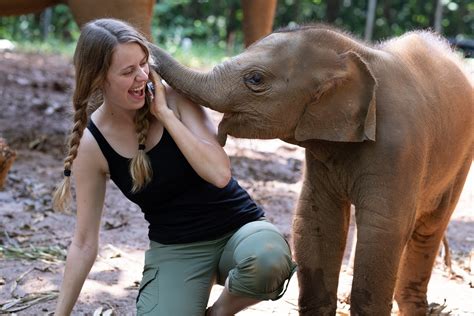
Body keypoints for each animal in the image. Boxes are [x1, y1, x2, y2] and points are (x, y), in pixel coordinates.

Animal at [151, 23, 470, 314]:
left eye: (255, 78)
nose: (148, 63)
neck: (357, 56)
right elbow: (316, 221)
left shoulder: (398, 149)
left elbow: (383, 230)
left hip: (463, 157)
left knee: (429, 227)